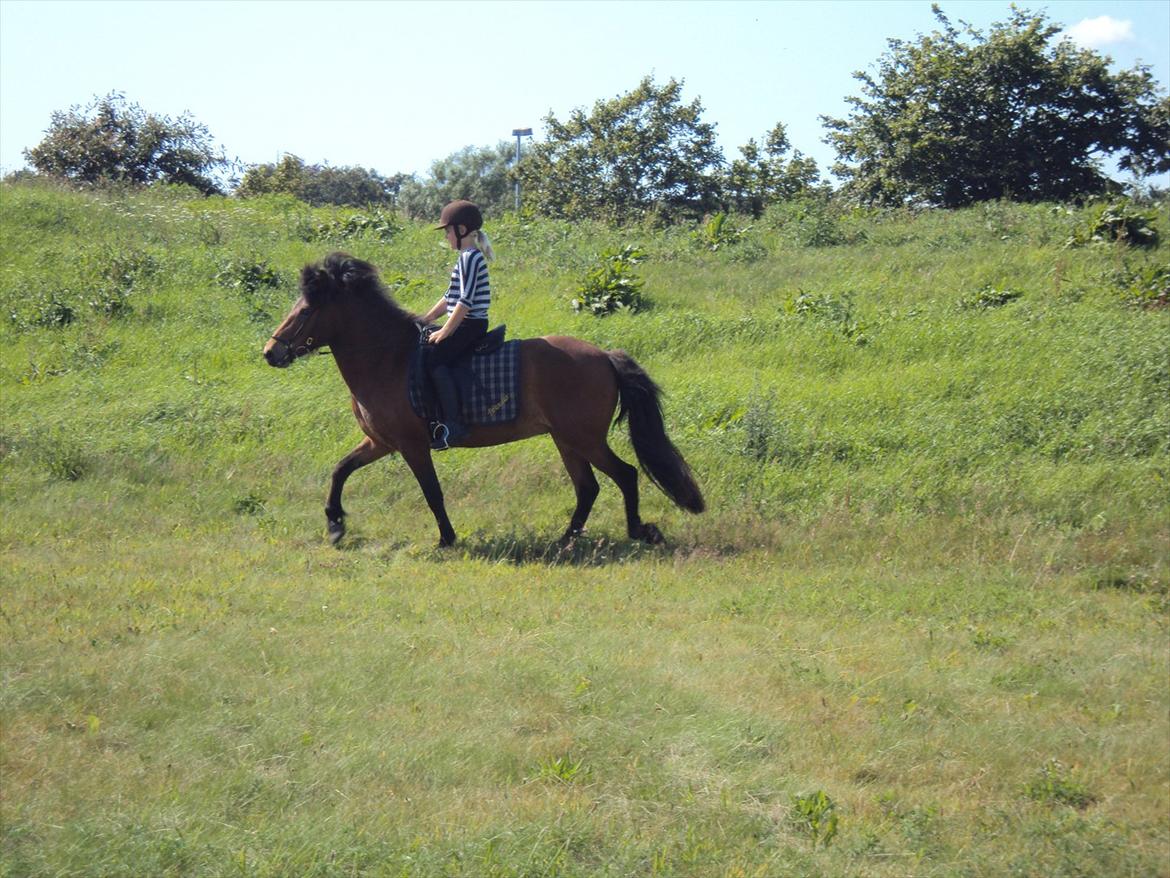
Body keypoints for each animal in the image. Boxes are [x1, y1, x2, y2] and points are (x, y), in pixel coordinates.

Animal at [263, 250, 702, 547]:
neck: (387, 359)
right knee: (588, 488)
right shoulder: (380, 442)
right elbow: (340, 470)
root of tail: (605, 356)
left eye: (305, 312)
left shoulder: (410, 444)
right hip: (566, 439)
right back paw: (566, 540)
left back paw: (637, 531)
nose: (270, 353)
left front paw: (446, 539)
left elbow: (432, 492)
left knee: (624, 475)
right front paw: (335, 525)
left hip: (584, 438)